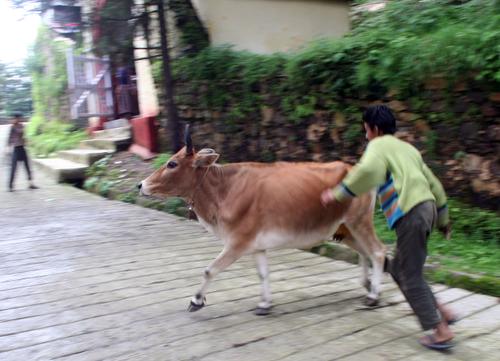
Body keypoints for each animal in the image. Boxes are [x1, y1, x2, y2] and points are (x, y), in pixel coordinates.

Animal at [140, 126, 386, 316]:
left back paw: (373, 295)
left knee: (377, 252)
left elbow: (209, 270)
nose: (141, 185)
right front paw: (265, 304)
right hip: (345, 229)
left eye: (172, 164)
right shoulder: (256, 245)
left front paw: (196, 300)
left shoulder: (237, 242)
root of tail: (354, 167)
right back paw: (367, 285)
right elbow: (263, 273)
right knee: (364, 252)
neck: (224, 189)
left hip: (359, 222)